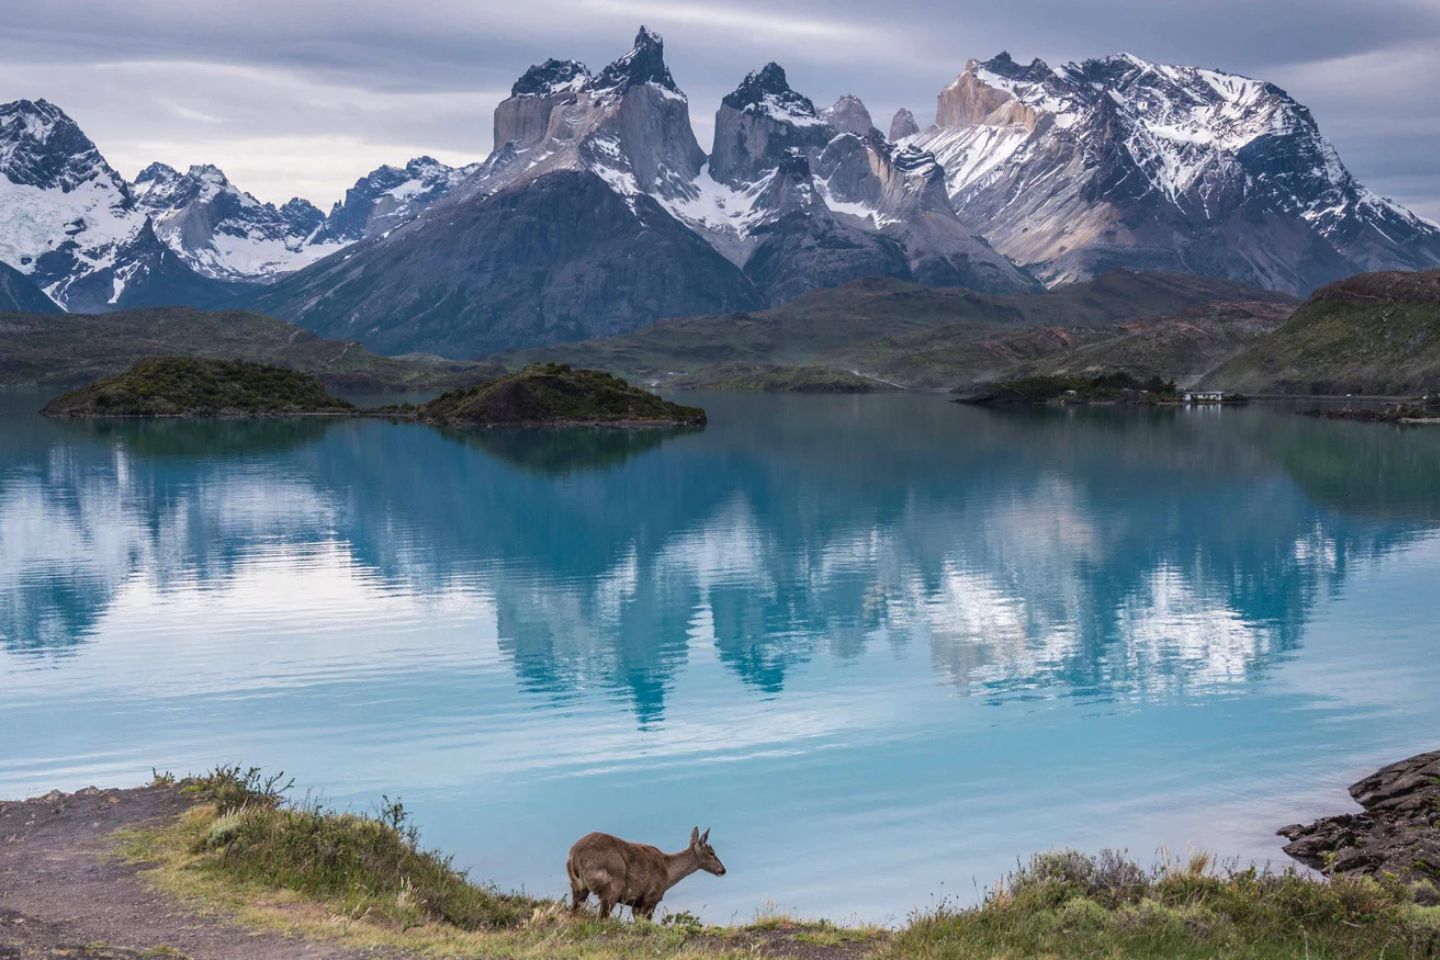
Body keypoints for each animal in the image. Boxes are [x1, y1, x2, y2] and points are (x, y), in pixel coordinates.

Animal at [564, 829, 725, 921]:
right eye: (711, 853)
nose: (723, 870)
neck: (668, 873)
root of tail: (575, 855)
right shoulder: (651, 898)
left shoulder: (636, 902)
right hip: (612, 885)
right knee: (601, 918)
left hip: (578, 886)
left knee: (574, 912)